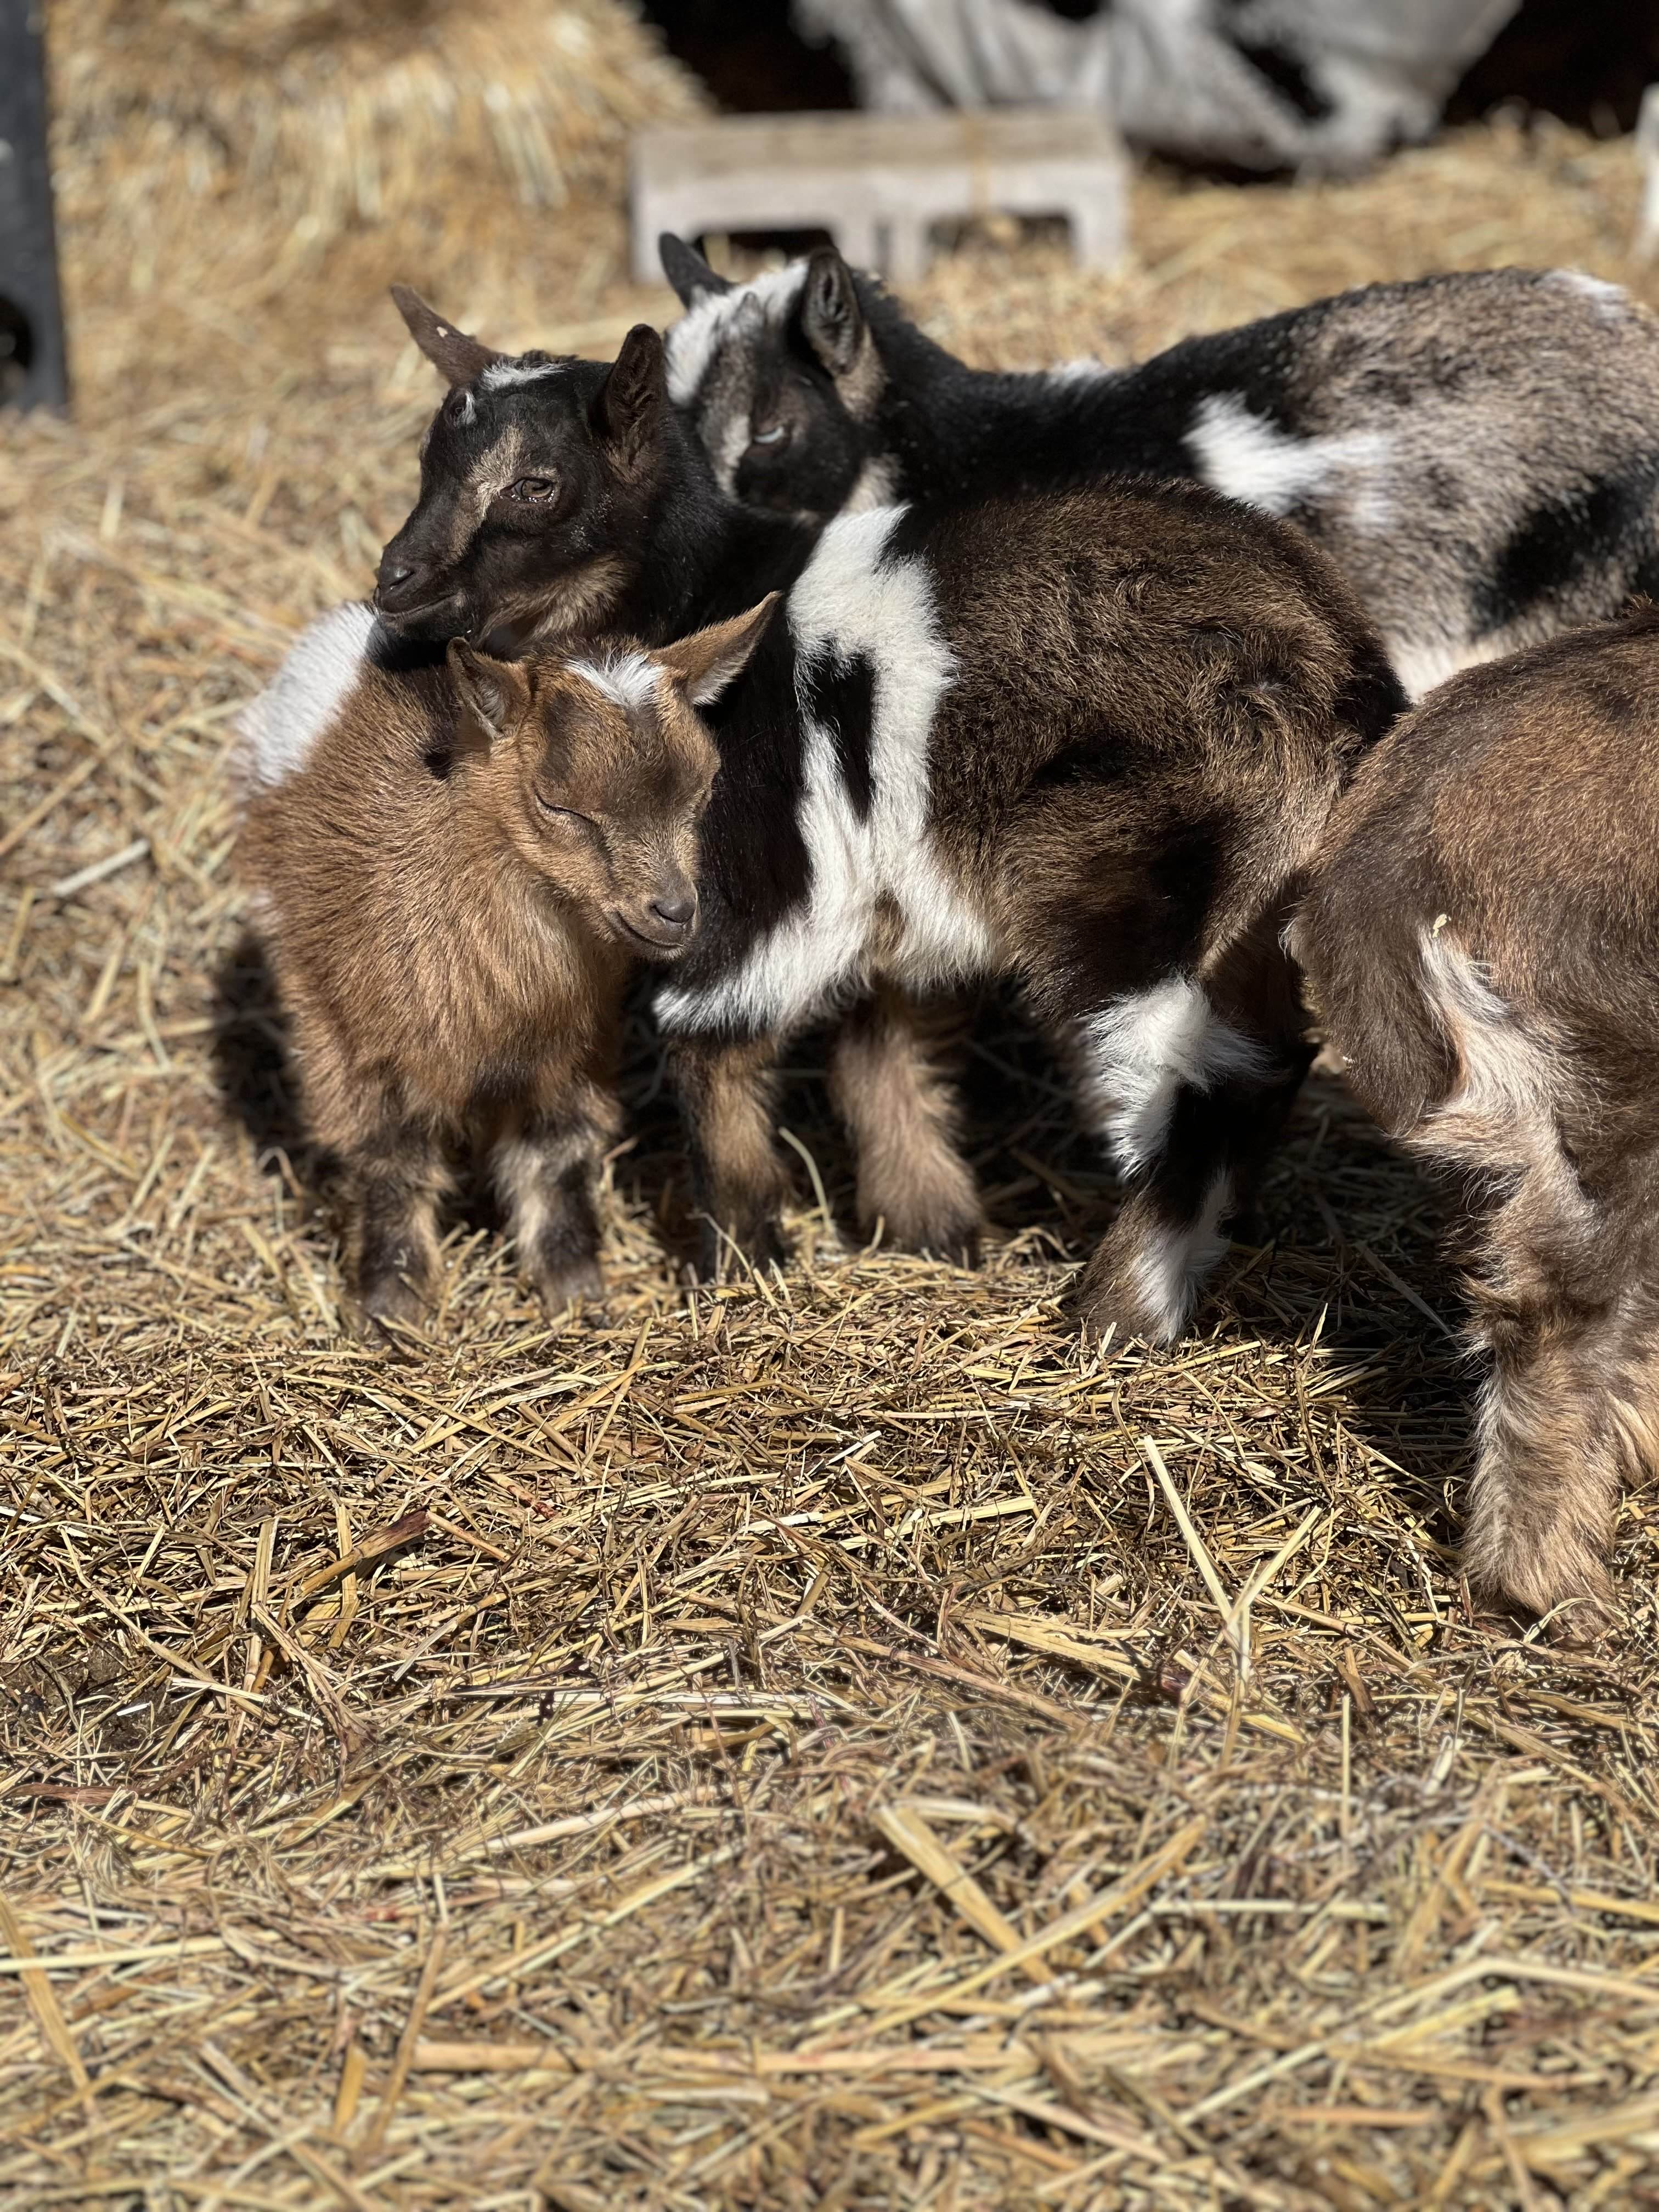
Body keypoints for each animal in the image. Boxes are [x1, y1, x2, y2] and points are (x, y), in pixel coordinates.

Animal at [233, 593, 776, 1328]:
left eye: (703, 790)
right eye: (558, 803)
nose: (674, 911)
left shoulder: (574, 1050)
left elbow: (554, 1157)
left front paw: (577, 1292)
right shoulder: (359, 1048)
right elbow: (390, 1160)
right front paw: (393, 1307)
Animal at [374, 302, 1405, 1341]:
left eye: (536, 483)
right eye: (427, 461)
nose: (395, 581)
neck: (702, 592)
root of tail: (1332, 672)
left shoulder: (745, 871)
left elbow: (715, 1042)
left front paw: (740, 1261)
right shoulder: (886, 880)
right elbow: (881, 1045)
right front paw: (929, 1226)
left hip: (1135, 884)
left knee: (1197, 1077)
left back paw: (1112, 1309)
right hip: (1246, 907)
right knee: (1261, 1062)